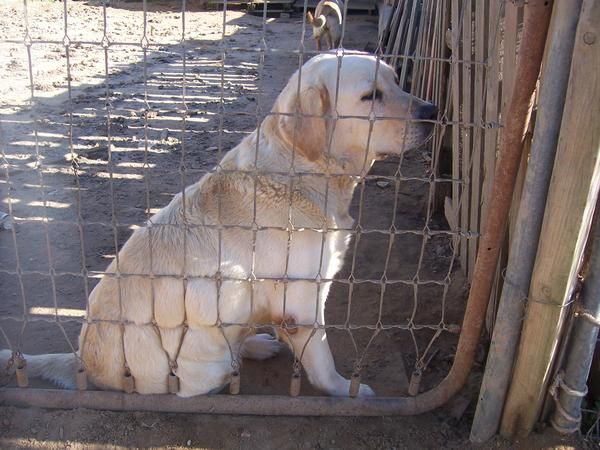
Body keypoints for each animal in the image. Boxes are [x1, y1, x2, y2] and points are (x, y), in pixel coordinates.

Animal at [2, 51, 438, 398]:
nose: (433, 112)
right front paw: (346, 390)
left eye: (396, 81)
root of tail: (85, 362)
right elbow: (323, 358)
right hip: (213, 326)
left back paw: (256, 344)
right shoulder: (302, 301)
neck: (303, 170)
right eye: (371, 96)